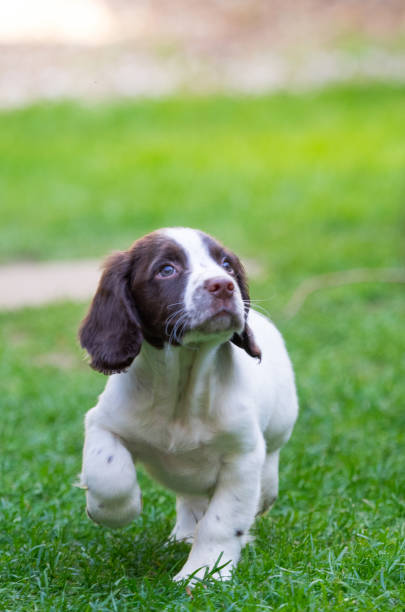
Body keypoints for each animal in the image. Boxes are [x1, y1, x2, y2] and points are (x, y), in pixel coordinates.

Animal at [78, 227, 296, 580]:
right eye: (166, 269)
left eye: (226, 264)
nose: (224, 285)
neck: (183, 388)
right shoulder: (103, 422)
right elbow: (108, 473)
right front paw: (113, 511)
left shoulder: (243, 455)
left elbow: (221, 522)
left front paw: (204, 573)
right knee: (191, 498)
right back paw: (182, 534)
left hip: (280, 423)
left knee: (270, 461)